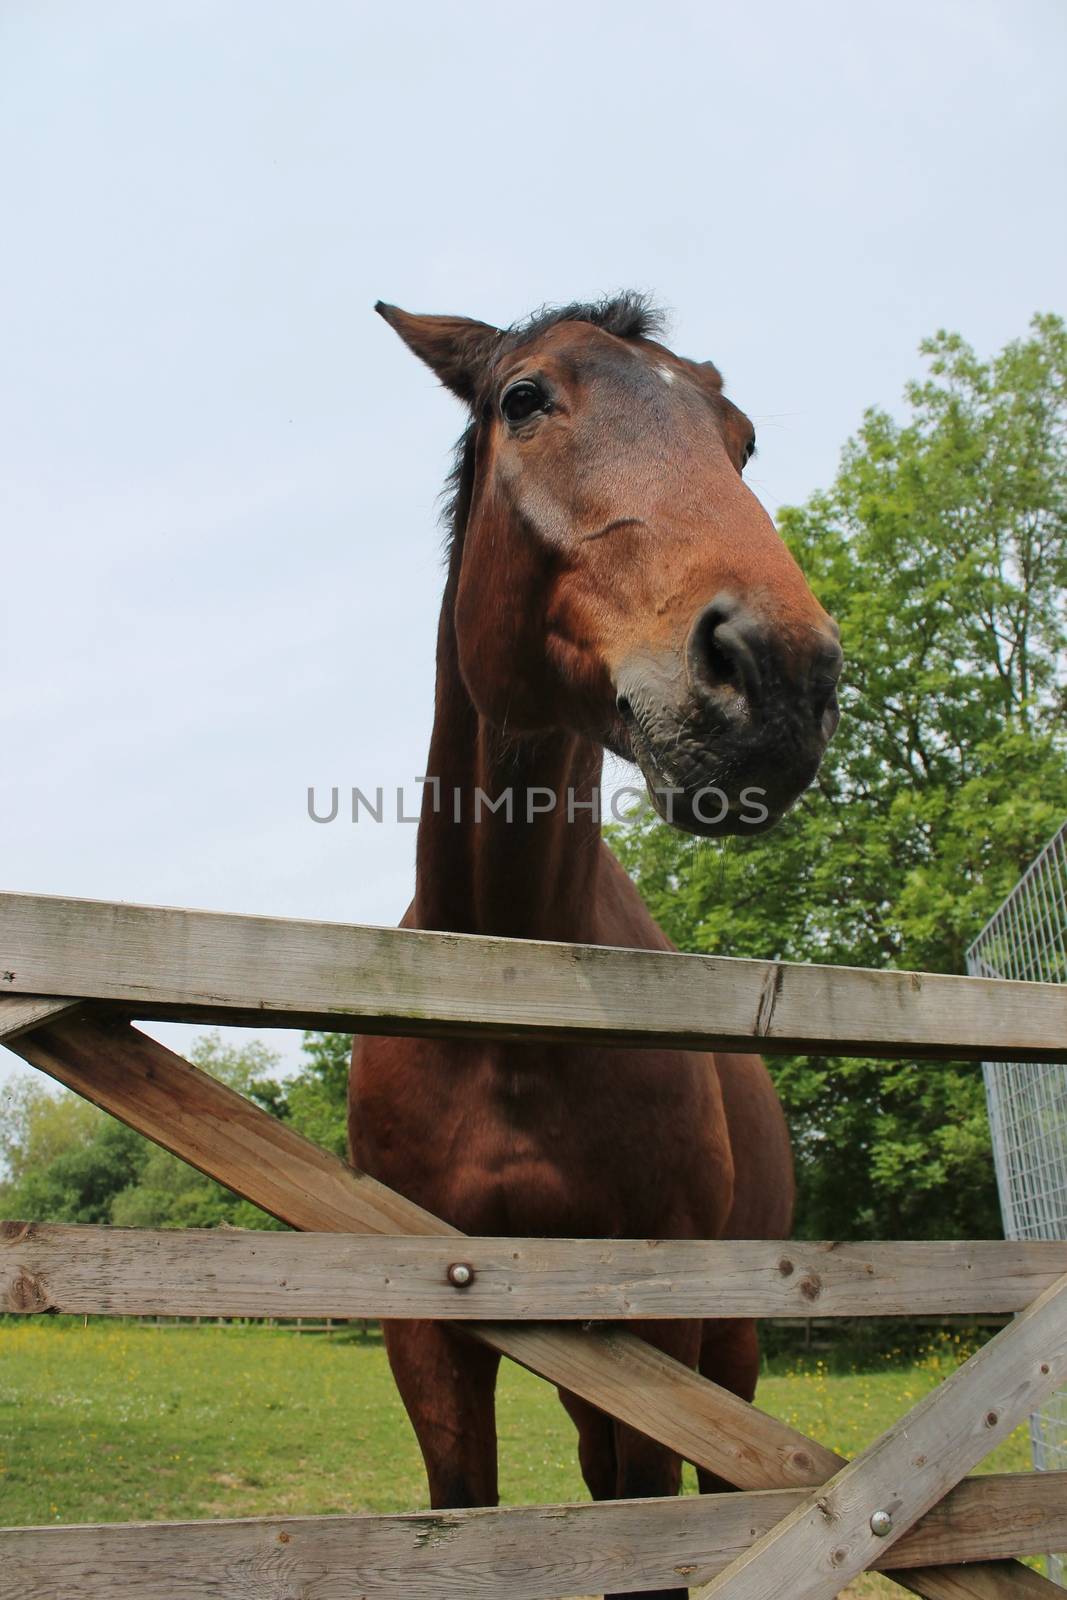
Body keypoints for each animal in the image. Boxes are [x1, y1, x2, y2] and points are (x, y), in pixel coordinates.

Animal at [350, 294, 844, 1593]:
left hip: (723, 1337)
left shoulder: (656, 1312)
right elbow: (467, 1511)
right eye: (525, 398)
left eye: (740, 437)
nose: (780, 672)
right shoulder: (426, 1324)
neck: (509, 1010)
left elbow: (648, 1523)